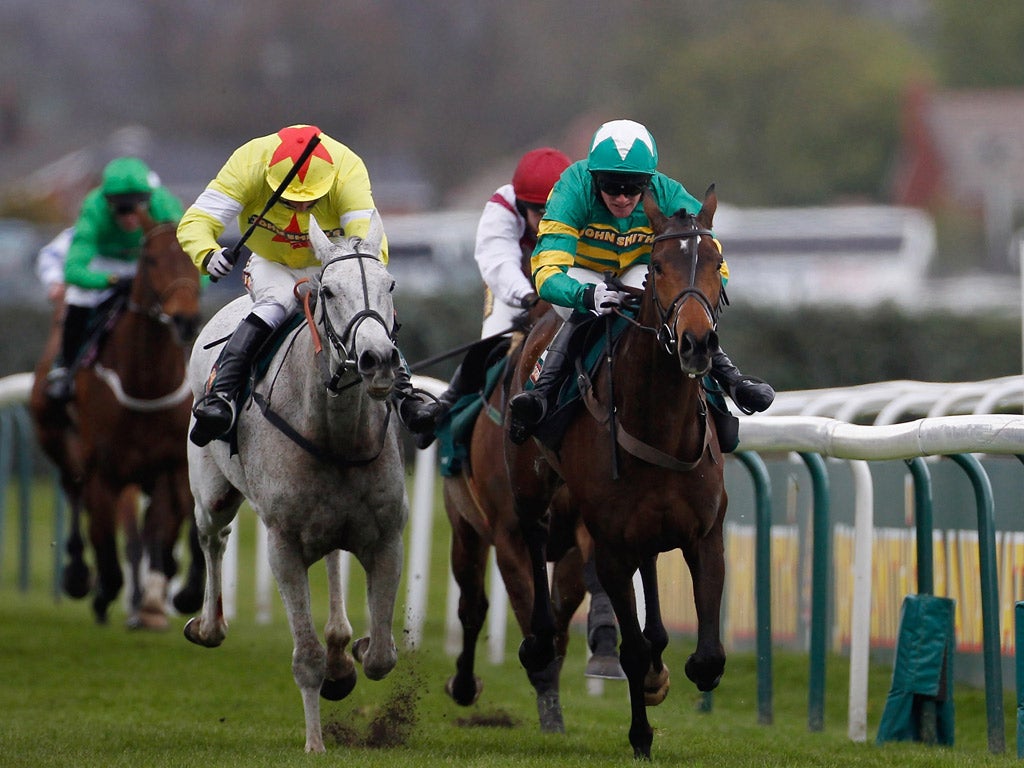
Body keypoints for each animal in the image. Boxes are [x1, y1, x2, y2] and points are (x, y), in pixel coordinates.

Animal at [28, 218, 202, 630]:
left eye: (192, 258)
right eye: (151, 259)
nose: (185, 319)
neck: (145, 383)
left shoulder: (170, 465)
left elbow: (163, 530)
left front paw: (161, 600)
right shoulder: (104, 470)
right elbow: (108, 552)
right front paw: (105, 591)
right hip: (57, 439)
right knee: (73, 491)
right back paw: (78, 575)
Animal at [186, 214, 409, 753]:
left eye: (391, 284)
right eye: (328, 291)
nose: (378, 360)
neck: (335, 435)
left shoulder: (388, 537)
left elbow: (382, 656)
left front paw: (355, 653)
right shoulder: (282, 545)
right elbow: (305, 658)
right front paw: (315, 742)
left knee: (330, 559)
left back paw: (341, 646)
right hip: (212, 492)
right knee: (213, 537)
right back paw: (208, 625)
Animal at [505, 189, 729, 761]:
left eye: (715, 263)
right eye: (658, 266)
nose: (698, 344)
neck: (660, 427)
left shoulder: (705, 534)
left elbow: (708, 657)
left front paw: (664, 675)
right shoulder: (607, 545)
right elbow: (630, 647)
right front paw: (641, 735)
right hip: (530, 480)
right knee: (533, 534)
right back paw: (539, 639)